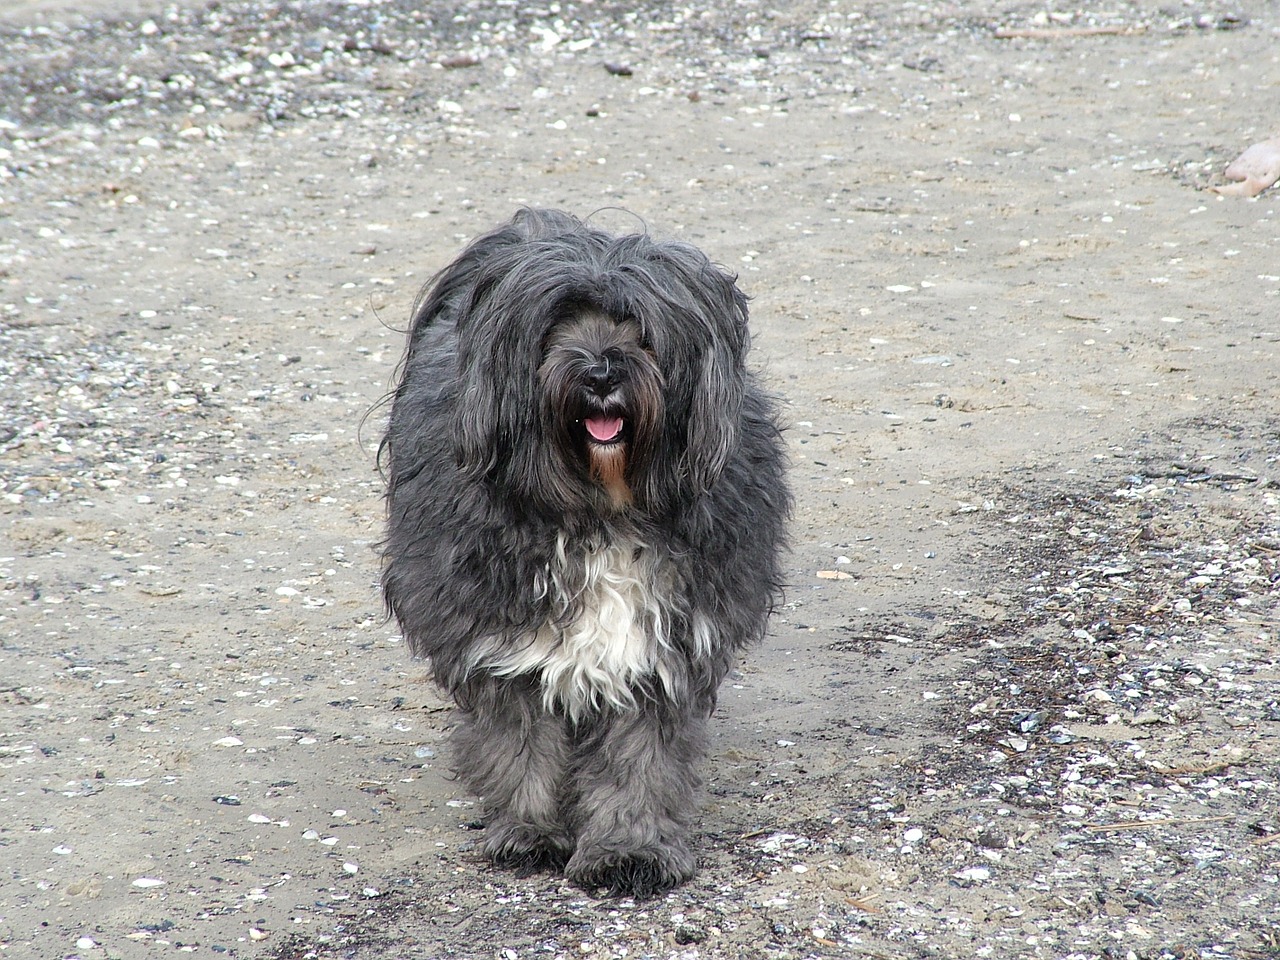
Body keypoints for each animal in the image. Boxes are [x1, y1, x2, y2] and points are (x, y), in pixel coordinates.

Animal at [376, 209, 788, 901]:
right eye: (556, 327)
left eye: (639, 328)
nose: (599, 373)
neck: (601, 510)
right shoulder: (503, 642)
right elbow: (519, 745)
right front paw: (530, 832)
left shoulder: (661, 649)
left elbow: (639, 761)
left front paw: (630, 848)